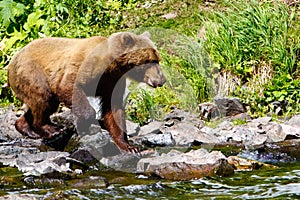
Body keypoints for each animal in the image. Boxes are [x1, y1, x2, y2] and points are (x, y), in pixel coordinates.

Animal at [7, 31, 166, 153]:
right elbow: (69, 87)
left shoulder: (113, 81)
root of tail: (11, 61)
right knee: (45, 99)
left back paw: (26, 128)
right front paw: (88, 123)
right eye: (149, 60)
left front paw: (129, 146)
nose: (162, 80)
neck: (112, 66)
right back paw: (52, 129)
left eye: (157, 59)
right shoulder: (85, 67)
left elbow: (114, 108)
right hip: (32, 73)